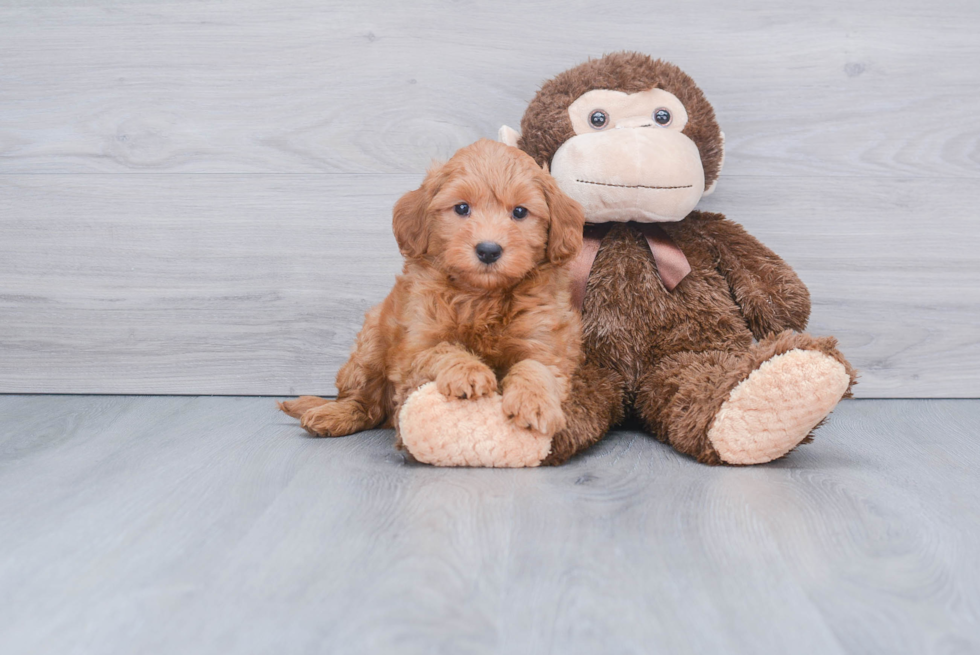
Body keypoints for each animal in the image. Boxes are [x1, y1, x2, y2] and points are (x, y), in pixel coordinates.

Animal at [278, 141, 580, 444]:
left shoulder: (543, 341)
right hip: (370, 344)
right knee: (365, 402)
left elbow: (536, 368)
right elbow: (443, 349)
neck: (481, 297)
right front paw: (468, 371)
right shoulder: (416, 344)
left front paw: (535, 402)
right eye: (462, 208)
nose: (488, 250)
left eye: (519, 212)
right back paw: (333, 414)